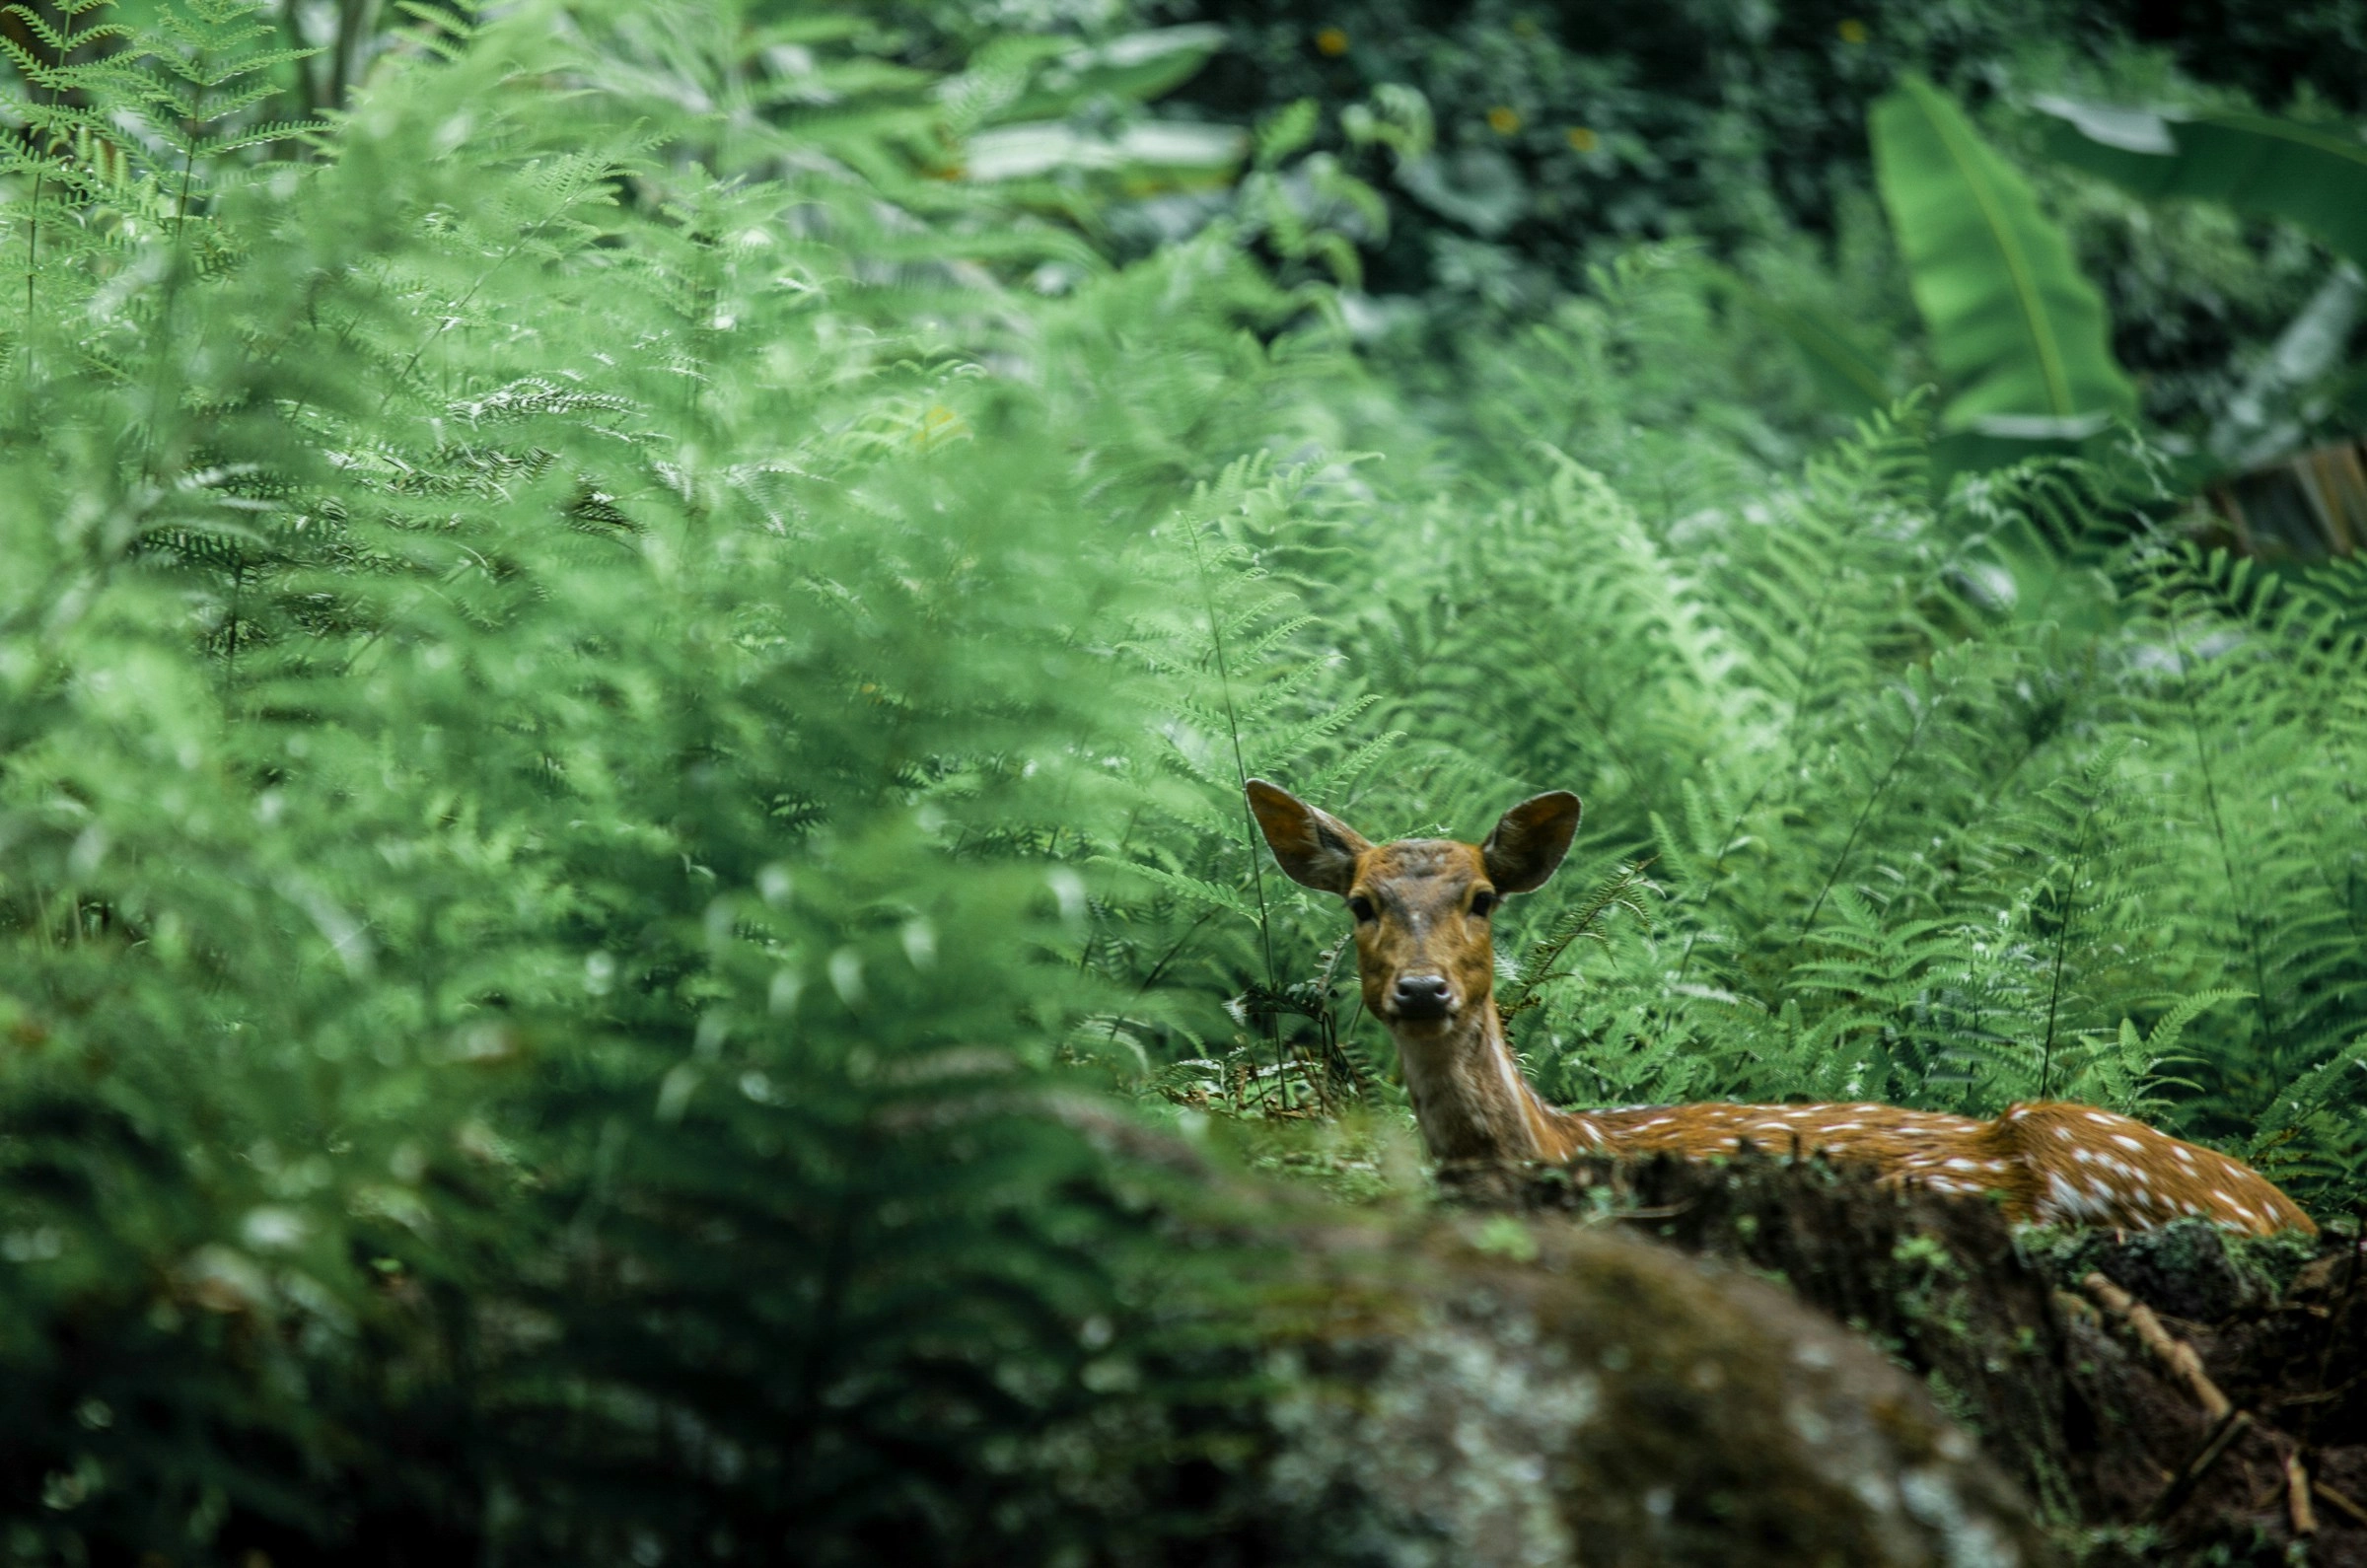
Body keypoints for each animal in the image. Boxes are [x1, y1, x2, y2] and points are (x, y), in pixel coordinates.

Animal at [1245, 779, 2317, 1237]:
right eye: (1361, 903)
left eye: (1481, 898)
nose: (1423, 989)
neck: (1559, 1142)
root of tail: (2295, 1215)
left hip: (2090, 1146)